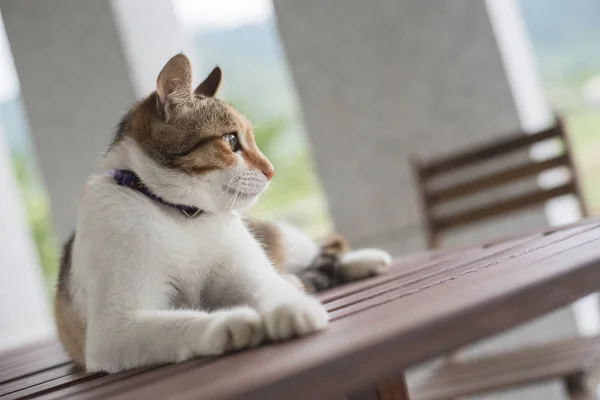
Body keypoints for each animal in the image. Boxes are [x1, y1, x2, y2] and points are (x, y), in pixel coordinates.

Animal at [54, 53, 392, 372]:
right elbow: (180, 322)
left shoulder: (250, 274)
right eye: (231, 140)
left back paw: (363, 260)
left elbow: (271, 288)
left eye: (252, 139)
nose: (272, 170)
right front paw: (231, 323)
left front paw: (293, 308)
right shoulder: (116, 329)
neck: (182, 216)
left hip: (280, 235)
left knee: (315, 251)